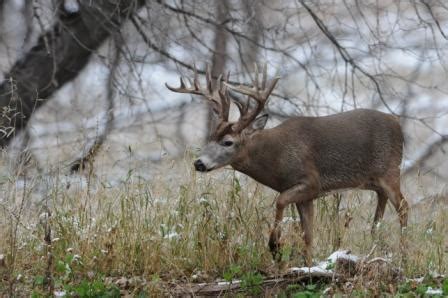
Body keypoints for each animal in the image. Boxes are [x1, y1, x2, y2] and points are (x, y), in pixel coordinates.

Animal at [165, 64, 410, 264]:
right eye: (209, 138)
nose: (199, 163)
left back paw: (403, 255)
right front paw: (306, 265)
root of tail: (397, 122)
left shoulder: (310, 181)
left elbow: (280, 201)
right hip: (374, 180)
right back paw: (376, 244)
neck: (276, 159)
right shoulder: (307, 195)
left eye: (228, 142)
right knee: (381, 208)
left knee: (404, 206)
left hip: (390, 169)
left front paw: (275, 246)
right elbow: (308, 234)